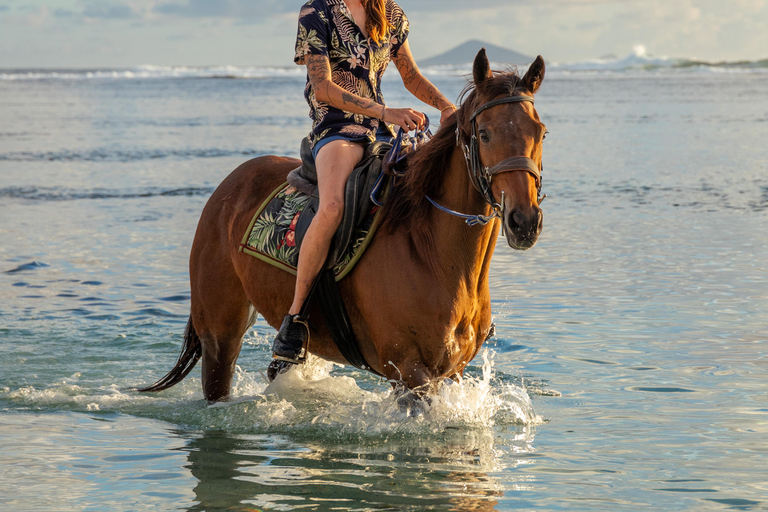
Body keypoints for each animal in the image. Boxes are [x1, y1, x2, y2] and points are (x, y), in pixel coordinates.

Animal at [138, 51, 544, 404]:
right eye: (485, 133)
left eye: (540, 132)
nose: (524, 221)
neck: (431, 250)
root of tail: (227, 189)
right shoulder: (409, 372)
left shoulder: (451, 373)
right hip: (219, 335)